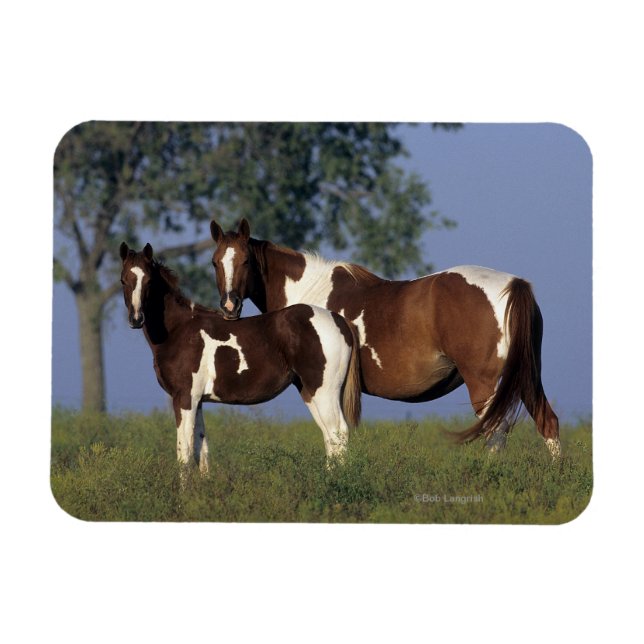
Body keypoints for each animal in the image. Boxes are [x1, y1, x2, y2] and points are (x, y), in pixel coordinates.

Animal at [119, 242, 361, 474]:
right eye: (123, 280)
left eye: (149, 280)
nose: (136, 319)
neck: (179, 329)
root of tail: (340, 321)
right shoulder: (197, 401)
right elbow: (201, 452)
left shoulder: (184, 398)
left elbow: (184, 454)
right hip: (310, 392)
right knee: (329, 437)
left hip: (325, 391)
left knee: (338, 432)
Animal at [209, 218, 561, 458]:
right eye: (215, 262)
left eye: (245, 260)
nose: (229, 306)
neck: (308, 297)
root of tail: (514, 285)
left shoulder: (317, 385)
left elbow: (333, 436)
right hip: (526, 378)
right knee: (548, 423)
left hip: (485, 384)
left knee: (496, 433)